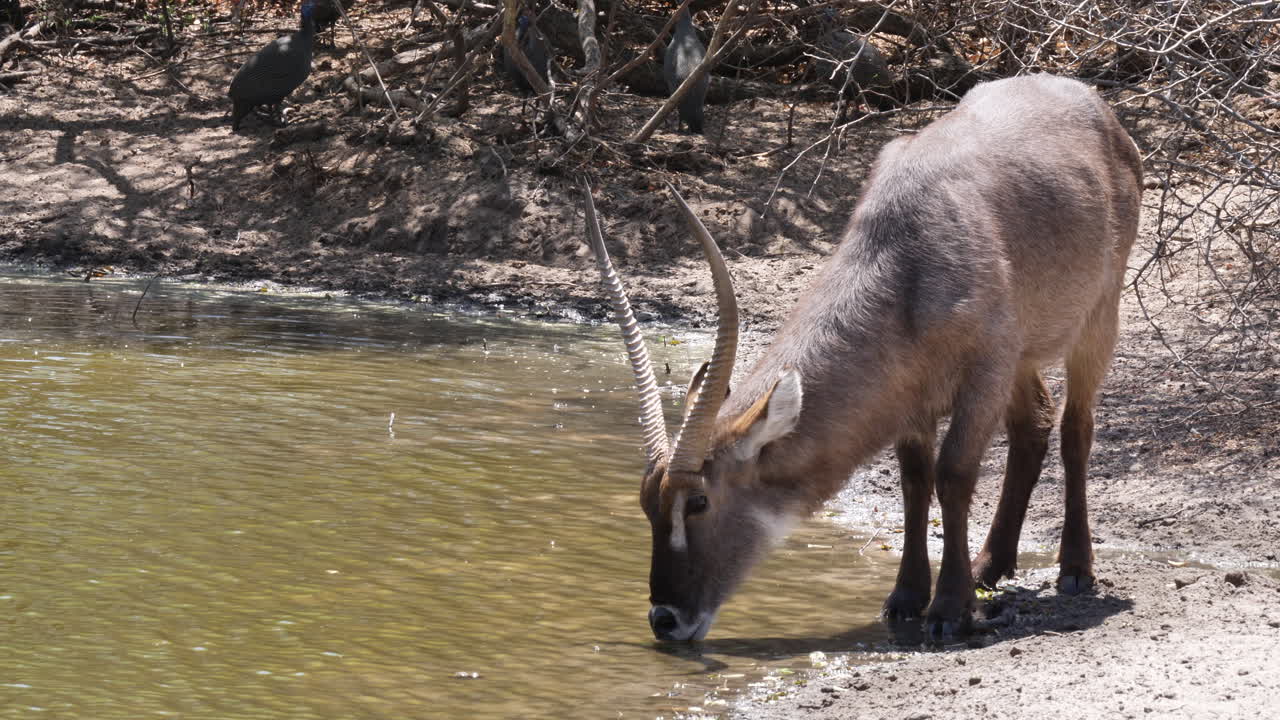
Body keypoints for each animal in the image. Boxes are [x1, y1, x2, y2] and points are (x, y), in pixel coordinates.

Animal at [584, 75, 1142, 642]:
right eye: (648, 505)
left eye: (698, 501)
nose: (664, 619)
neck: (907, 258)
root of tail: (1090, 102)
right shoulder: (914, 393)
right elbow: (915, 479)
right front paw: (907, 597)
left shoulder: (985, 374)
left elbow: (953, 474)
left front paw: (948, 609)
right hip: (1025, 358)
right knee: (1034, 425)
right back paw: (990, 566)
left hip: (1096, 318)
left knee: (1075, 428)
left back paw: (1075, 569)